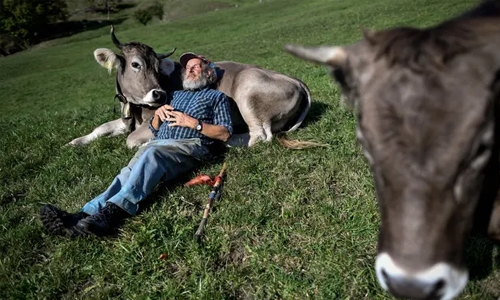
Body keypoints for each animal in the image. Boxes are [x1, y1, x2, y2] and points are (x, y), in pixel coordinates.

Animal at [67, 25, 320, 149]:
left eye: (158, 67)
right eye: (135, 64)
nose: (159, 94)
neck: (136, 110)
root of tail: (296, 80)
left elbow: (131, 141)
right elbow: (101, 128)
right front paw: (75, 142)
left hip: (248, 92)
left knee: (260, 135)